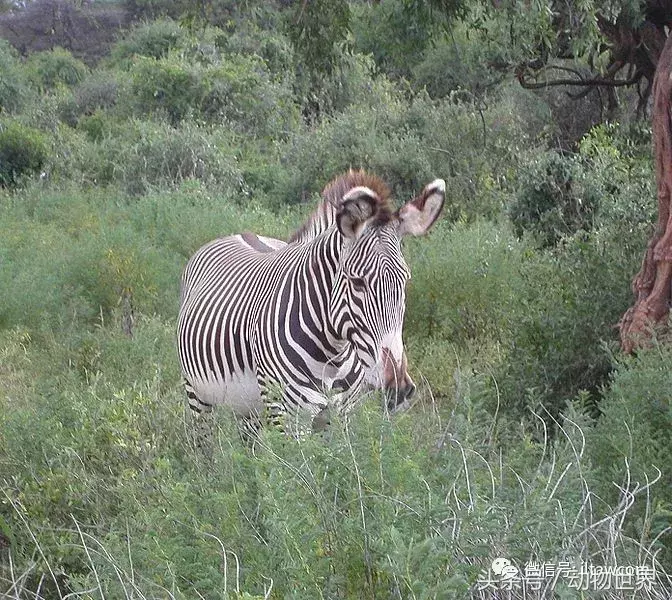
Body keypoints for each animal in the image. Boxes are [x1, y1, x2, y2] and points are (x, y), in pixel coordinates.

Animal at [176, 169, 444, 436]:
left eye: (405, 280)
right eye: (357, 282)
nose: (398, 388)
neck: (334, 355)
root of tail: (238, 234)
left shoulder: (343, 416)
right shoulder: (288, 418)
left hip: (248, 408)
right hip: (198, 396)